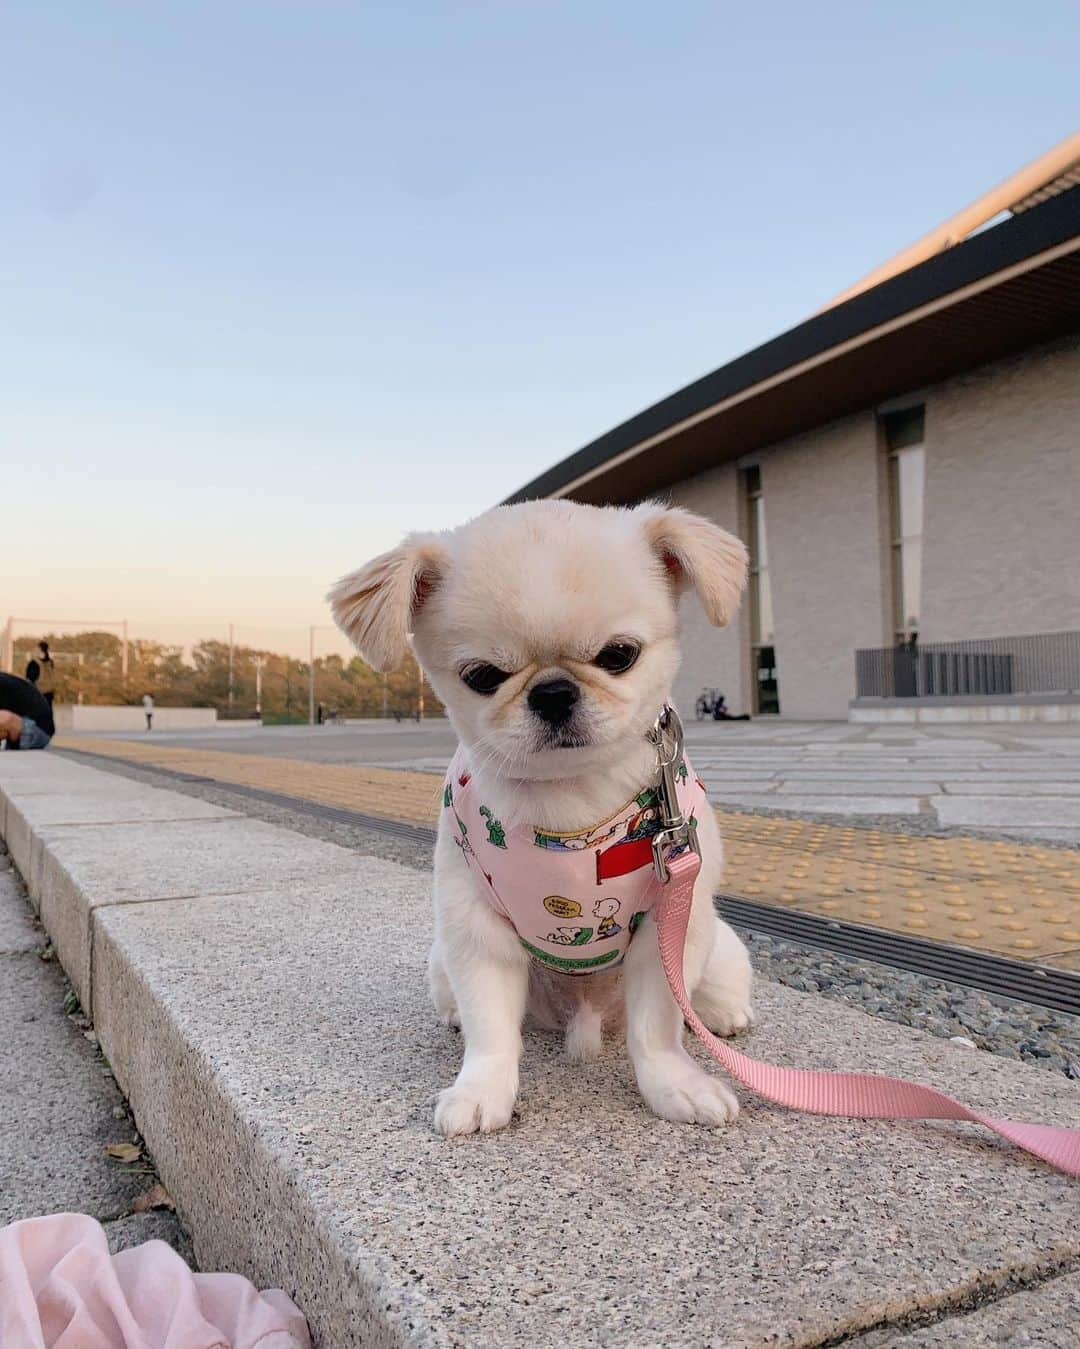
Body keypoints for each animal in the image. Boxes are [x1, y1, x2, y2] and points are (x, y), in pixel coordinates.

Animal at [333, 501, 755, 1133]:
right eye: (483, 676)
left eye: (618, 656)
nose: (554, 692)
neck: (570, 803)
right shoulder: (475, 929)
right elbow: (490, 1031)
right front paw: (481, 1091)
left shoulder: (669, 924)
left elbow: (657, 1028)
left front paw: (675, 1085)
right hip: (441, 961)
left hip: (720, 945)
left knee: (709, 992)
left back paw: (724, 1016)